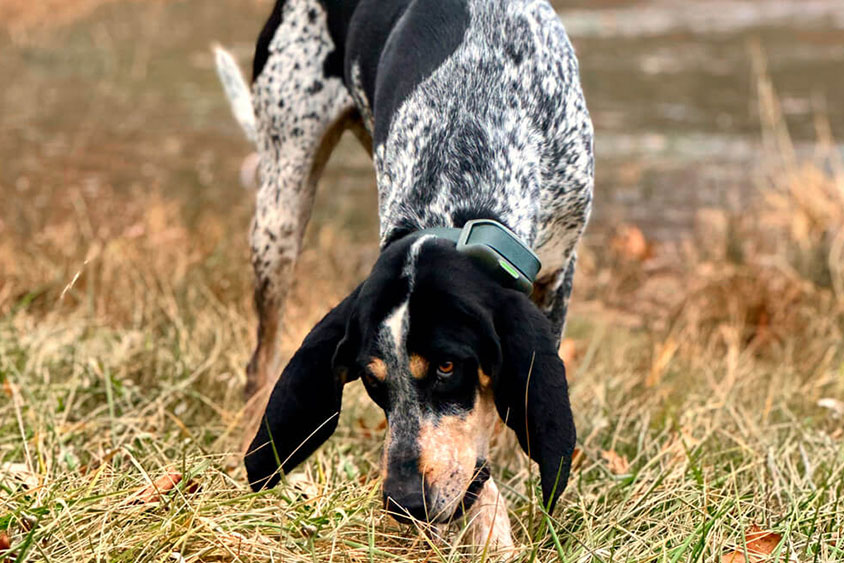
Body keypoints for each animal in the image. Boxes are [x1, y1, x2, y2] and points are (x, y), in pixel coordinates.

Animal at [214, 0, 592, 552]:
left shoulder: (557, 273)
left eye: (448, 367)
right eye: (372, 382)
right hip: (279, 207)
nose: (405, 503)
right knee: (258, 364)